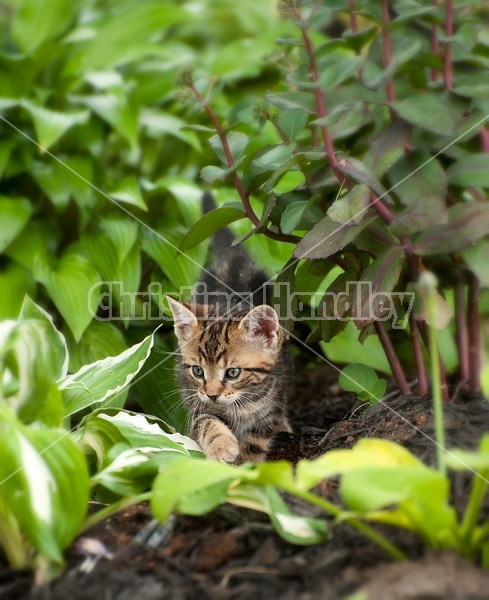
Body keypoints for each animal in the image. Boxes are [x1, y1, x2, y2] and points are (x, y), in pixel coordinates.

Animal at [167, 197, 290, 464]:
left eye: (233, 373)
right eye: (198, 371)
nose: (213, 394)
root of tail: (233, 258)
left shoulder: (270, 407)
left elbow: (256, 439)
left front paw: (245, 463)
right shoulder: (198, 402)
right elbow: (206, 422)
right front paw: (221, 446)